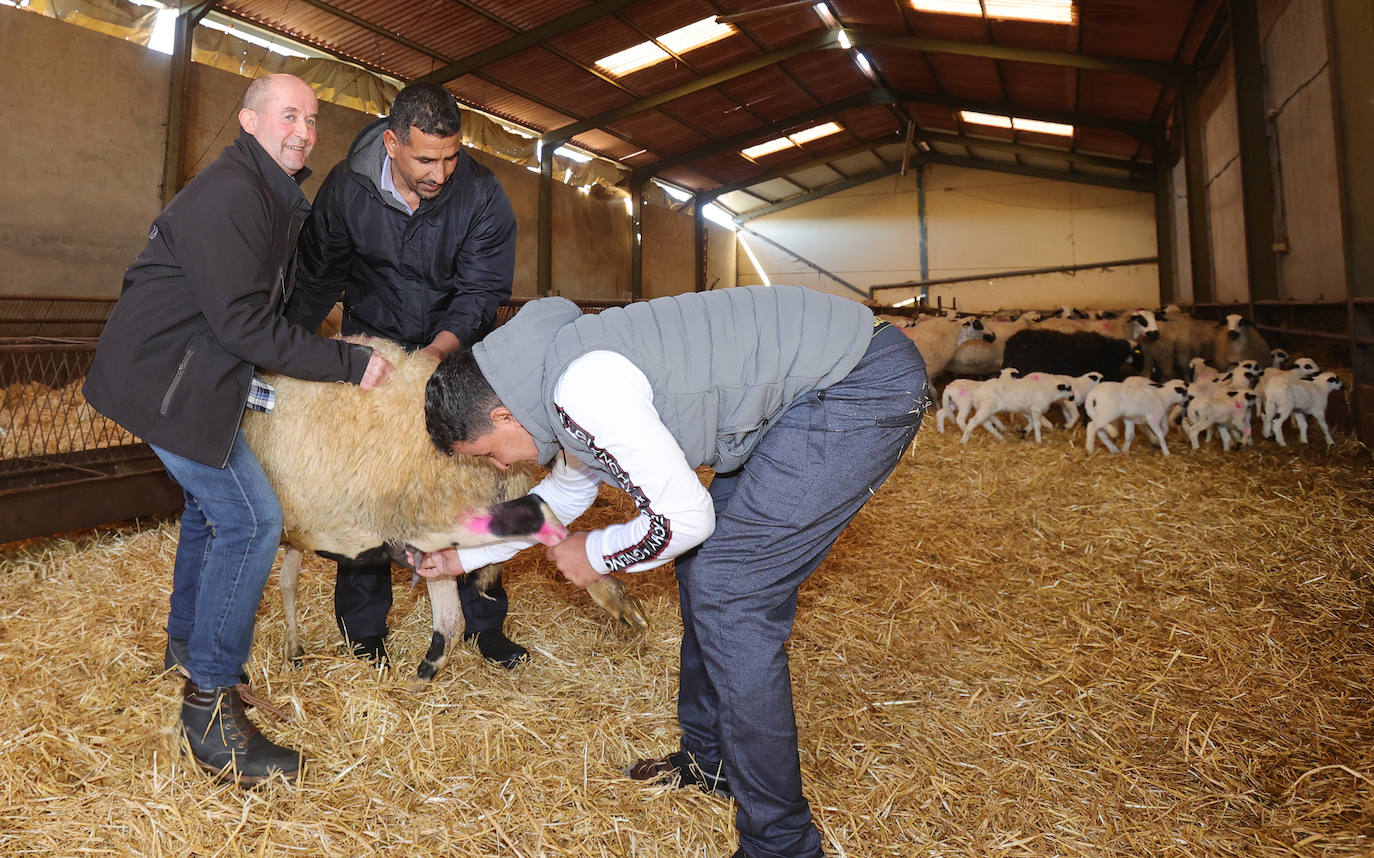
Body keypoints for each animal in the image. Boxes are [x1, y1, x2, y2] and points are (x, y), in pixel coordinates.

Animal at [243, 338, 648, 679]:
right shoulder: (300, 527)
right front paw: (292, 648)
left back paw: (609, 593)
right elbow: (288, 580)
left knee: (529, 522)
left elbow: (283, 580)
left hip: (426, 513)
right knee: (453, 618)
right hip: (429, 524)